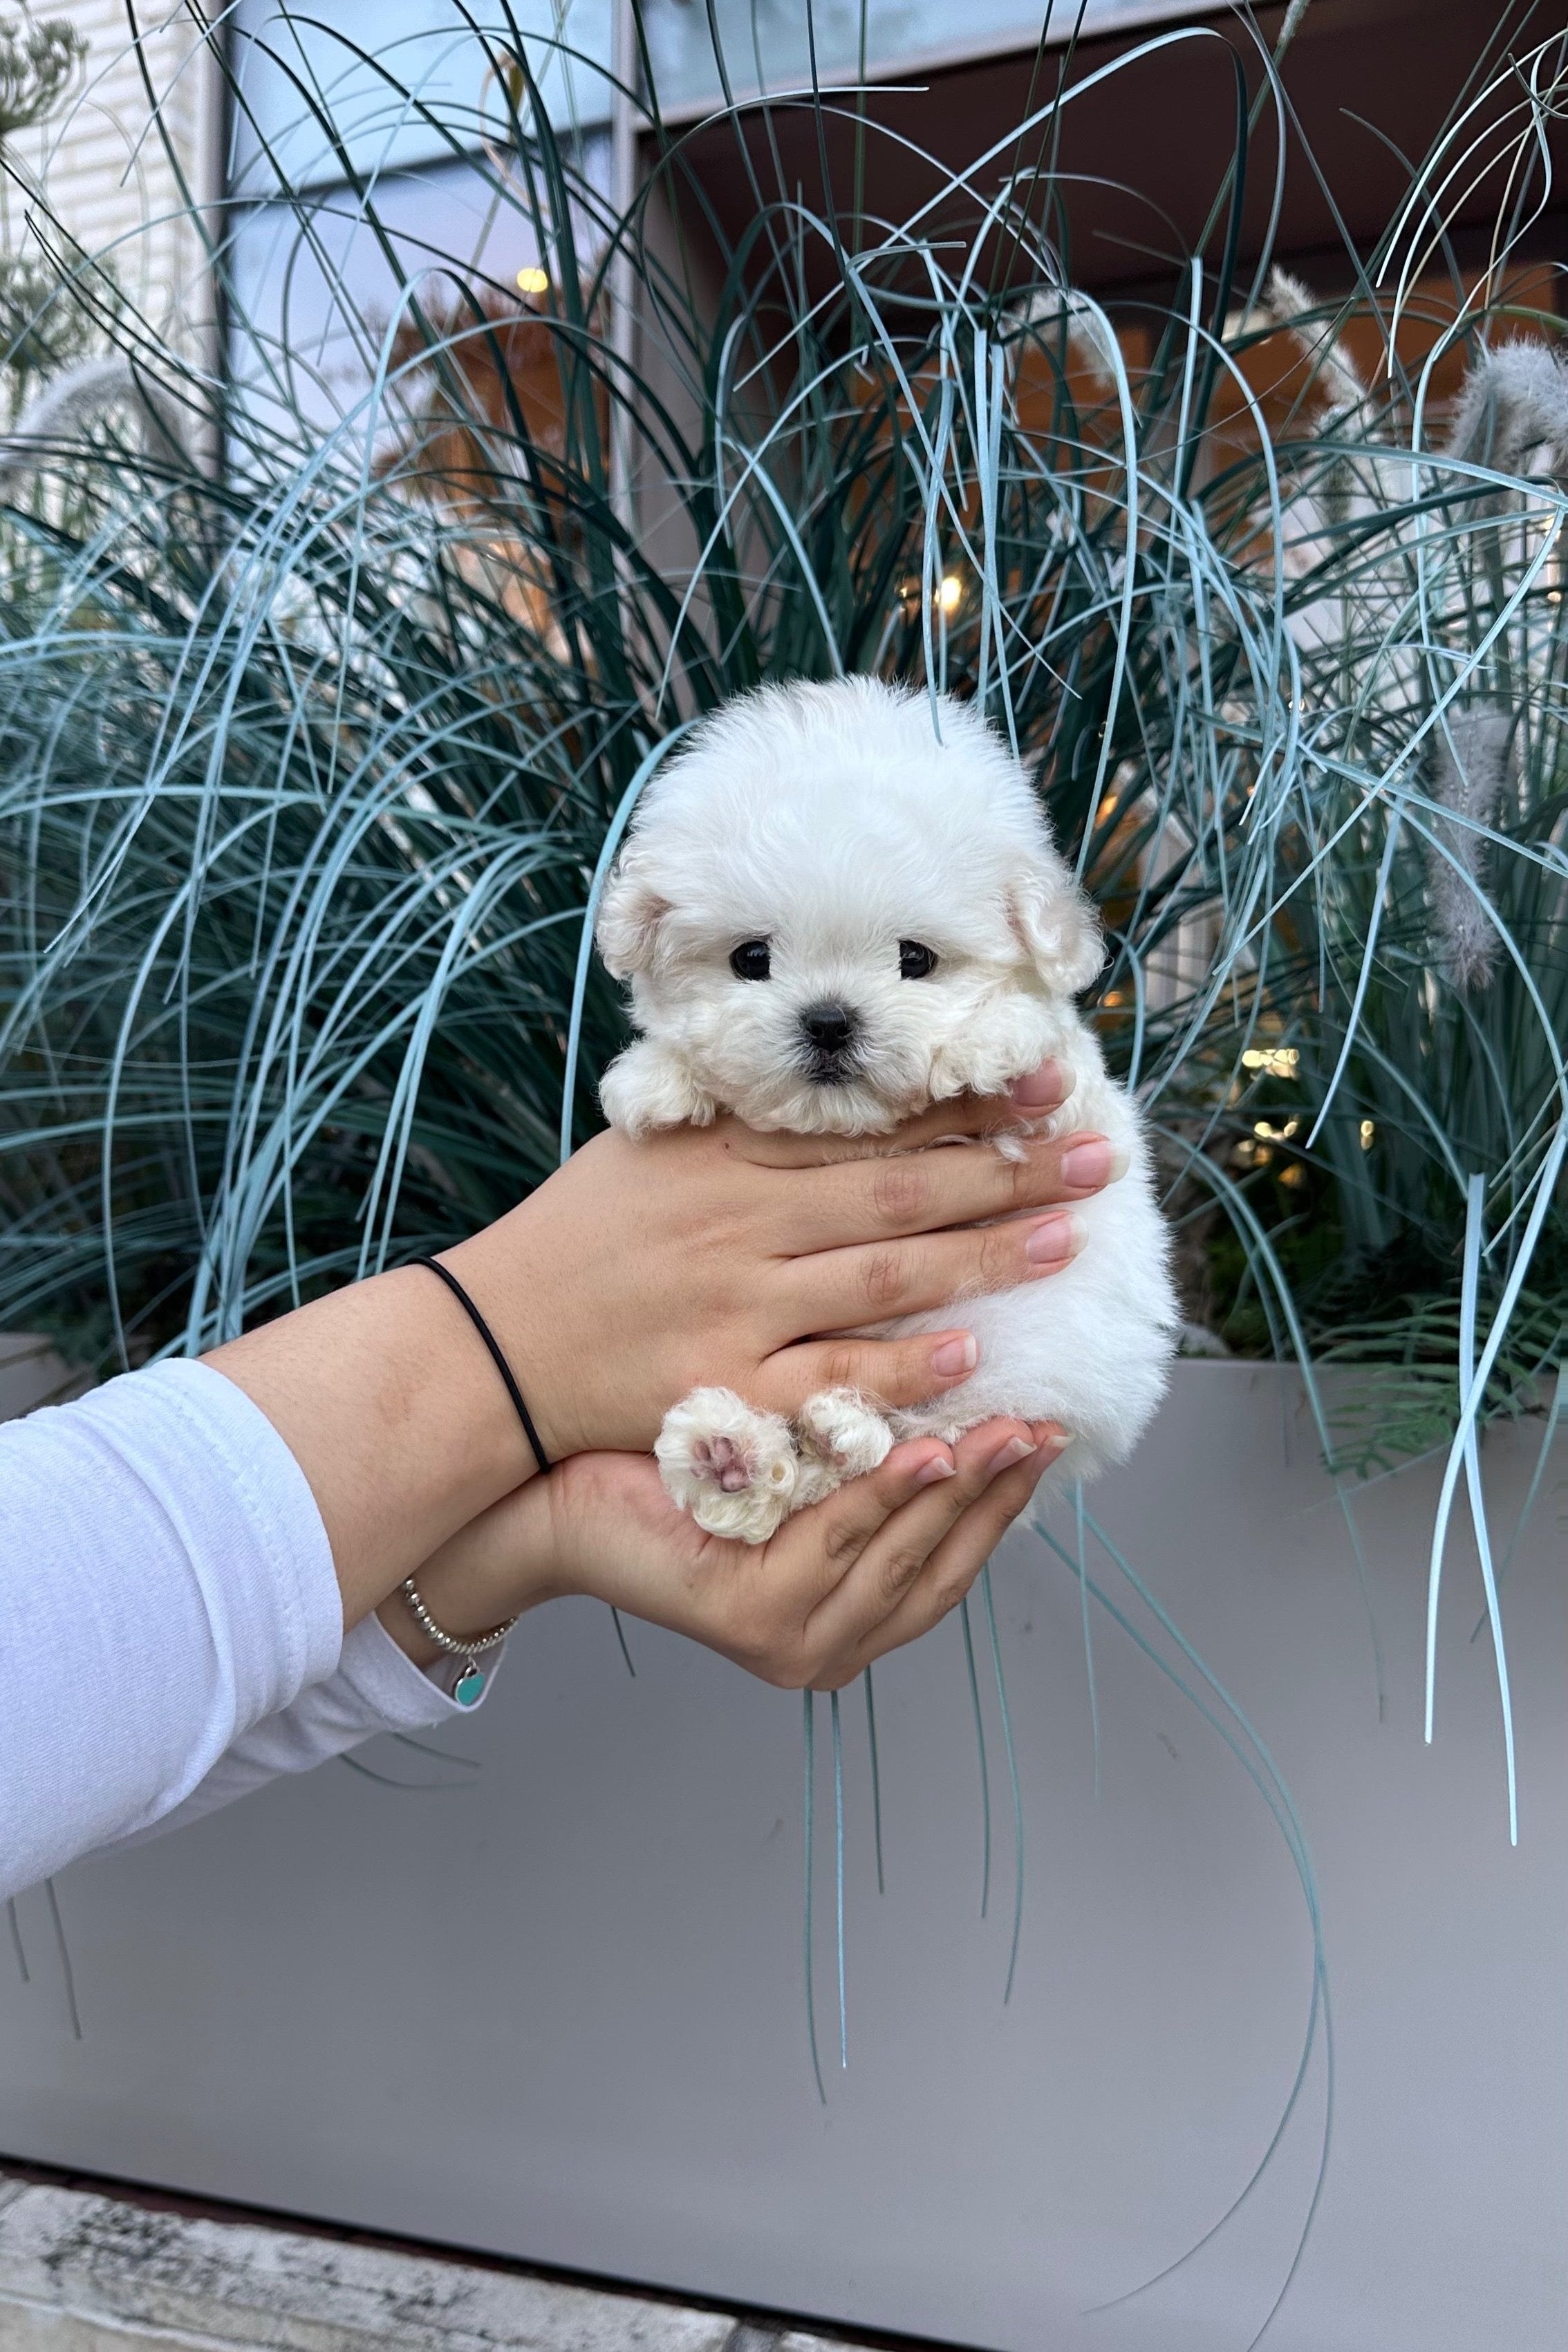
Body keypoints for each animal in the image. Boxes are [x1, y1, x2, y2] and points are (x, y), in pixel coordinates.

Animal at [597, 677, 1175, 1542]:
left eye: (915, 959)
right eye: (751, 958)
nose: (830, 1020)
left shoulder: (1080, 1127)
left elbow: (1051, 1068)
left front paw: (987, 1040)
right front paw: (656, 1077)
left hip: (1025, 1368)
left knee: (925, 1432)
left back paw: (834, 1430)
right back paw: (734, 1452)